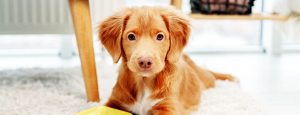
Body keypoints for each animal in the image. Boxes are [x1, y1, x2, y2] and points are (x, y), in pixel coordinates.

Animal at [98, 6, 237, 115]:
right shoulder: (114, 101)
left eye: (160, 36)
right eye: (131, 36)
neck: (144, 82)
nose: (145, 62)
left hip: (206, 79)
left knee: (210, 74)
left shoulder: (169, 107)